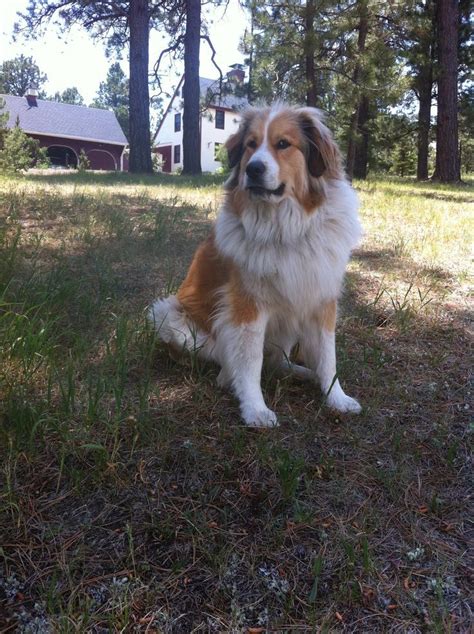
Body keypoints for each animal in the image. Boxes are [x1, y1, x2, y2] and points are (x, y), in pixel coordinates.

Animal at [150, 103, 362, 428]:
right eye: (250, 144)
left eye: (283, 144)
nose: (253, 169)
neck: (286, 229)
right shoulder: (247, 305)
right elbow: (250, 361)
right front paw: (254, 408)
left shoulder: (321, 299)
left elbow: (328, 357)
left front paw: (335, 397)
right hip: (170, 316)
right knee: (228, 359)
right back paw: (227, 378)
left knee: (279, 361)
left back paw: (303, 373)